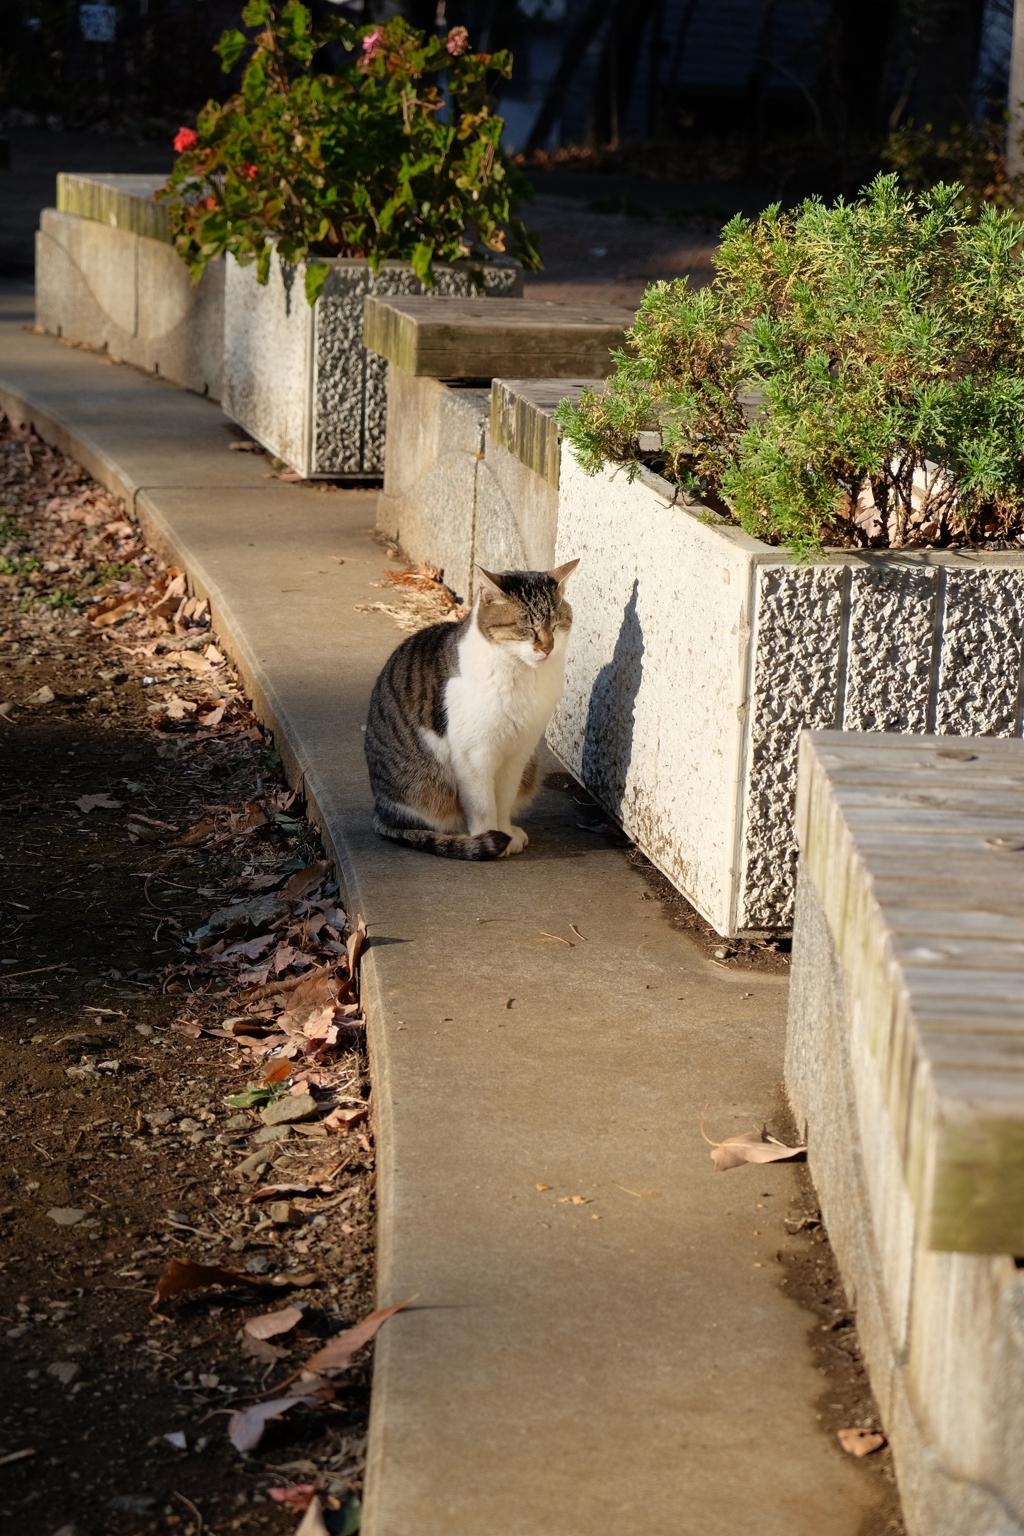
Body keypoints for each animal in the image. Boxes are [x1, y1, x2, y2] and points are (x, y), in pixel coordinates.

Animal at [366, 559, 577, 860]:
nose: (548, 648)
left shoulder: (519, 751)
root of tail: (379, 811)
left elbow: (504, 797)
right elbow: (483, 804)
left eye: (558, 625)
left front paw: (506, 832)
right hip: (425, 787)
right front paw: (489, 837)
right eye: (527, 629)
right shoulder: (474, 754)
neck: (523, 676)